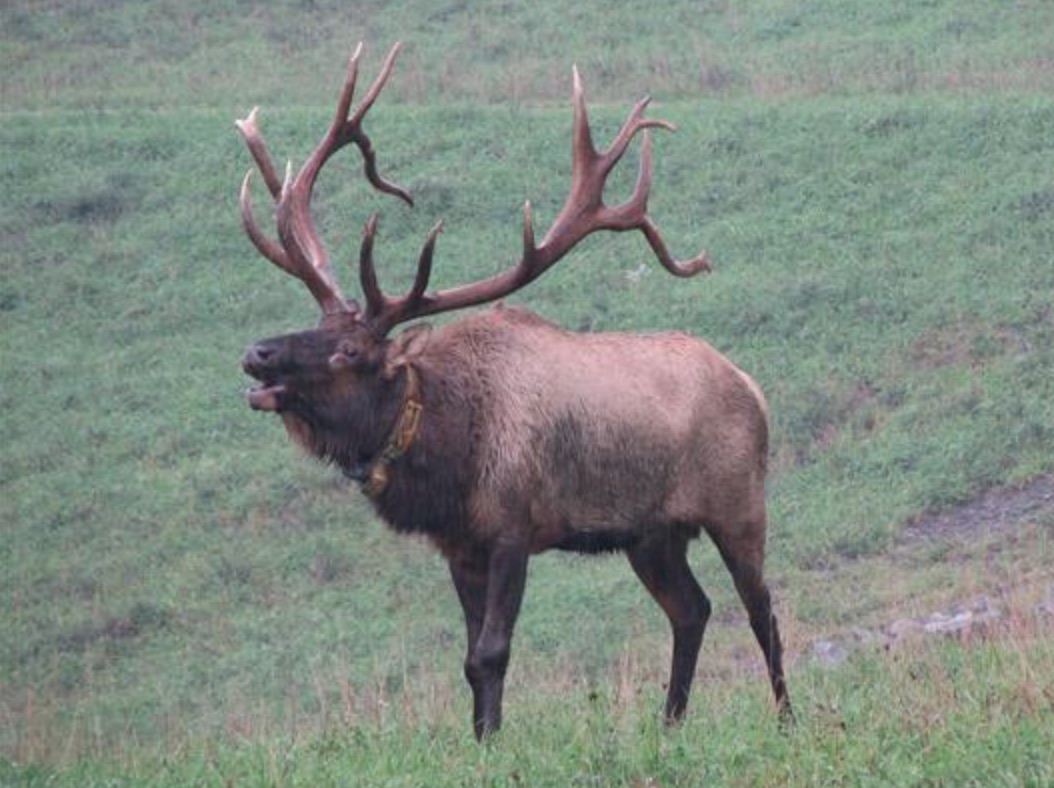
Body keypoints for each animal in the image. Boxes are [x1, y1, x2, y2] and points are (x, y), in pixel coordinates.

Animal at [236, 42, 791, 741]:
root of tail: (753, 387)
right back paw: (669, 723)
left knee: (763, 607)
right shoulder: (459, 546)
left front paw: (493, 741)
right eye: (315, 324)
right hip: (651, 534)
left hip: (737, 504)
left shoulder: (511, 528)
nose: (257, 354)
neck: (449, 450)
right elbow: (468, 659)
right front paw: (480, 737)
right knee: (692, 609)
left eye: (349, 352)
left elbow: (492, 652)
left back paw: (787, 718)